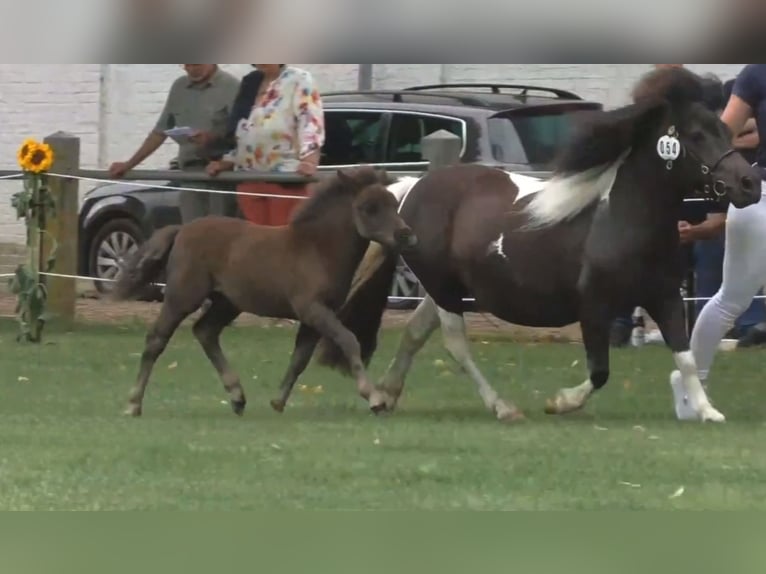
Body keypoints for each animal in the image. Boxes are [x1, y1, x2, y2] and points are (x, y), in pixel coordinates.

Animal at [112, 167, 418, 418]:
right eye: (368, 207)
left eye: (394, 204)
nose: (406, 235)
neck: (317, 249)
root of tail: (182, 229)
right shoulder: (313, 309)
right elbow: (348, 340)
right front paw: (375, 398)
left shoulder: (314, 317)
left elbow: (300, 358)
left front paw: (278, 402)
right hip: (182, 297)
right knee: (157, 339)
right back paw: (133, 404)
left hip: (227, 303)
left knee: (205, 331)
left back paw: (237, 397)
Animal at [313, 66, 762, 424]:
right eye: (696, 135)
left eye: (727, 130)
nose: (748, 183)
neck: (622, 218)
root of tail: (409, 190)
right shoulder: (594, 305)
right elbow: (600, 371)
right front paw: (560, 403)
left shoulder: (665, 296)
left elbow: (685, 355)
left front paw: (707, 410)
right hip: (443, 289)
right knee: (455, 344)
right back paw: (502, 407)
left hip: (446, 289)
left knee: (414, 333)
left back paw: (385, 396)